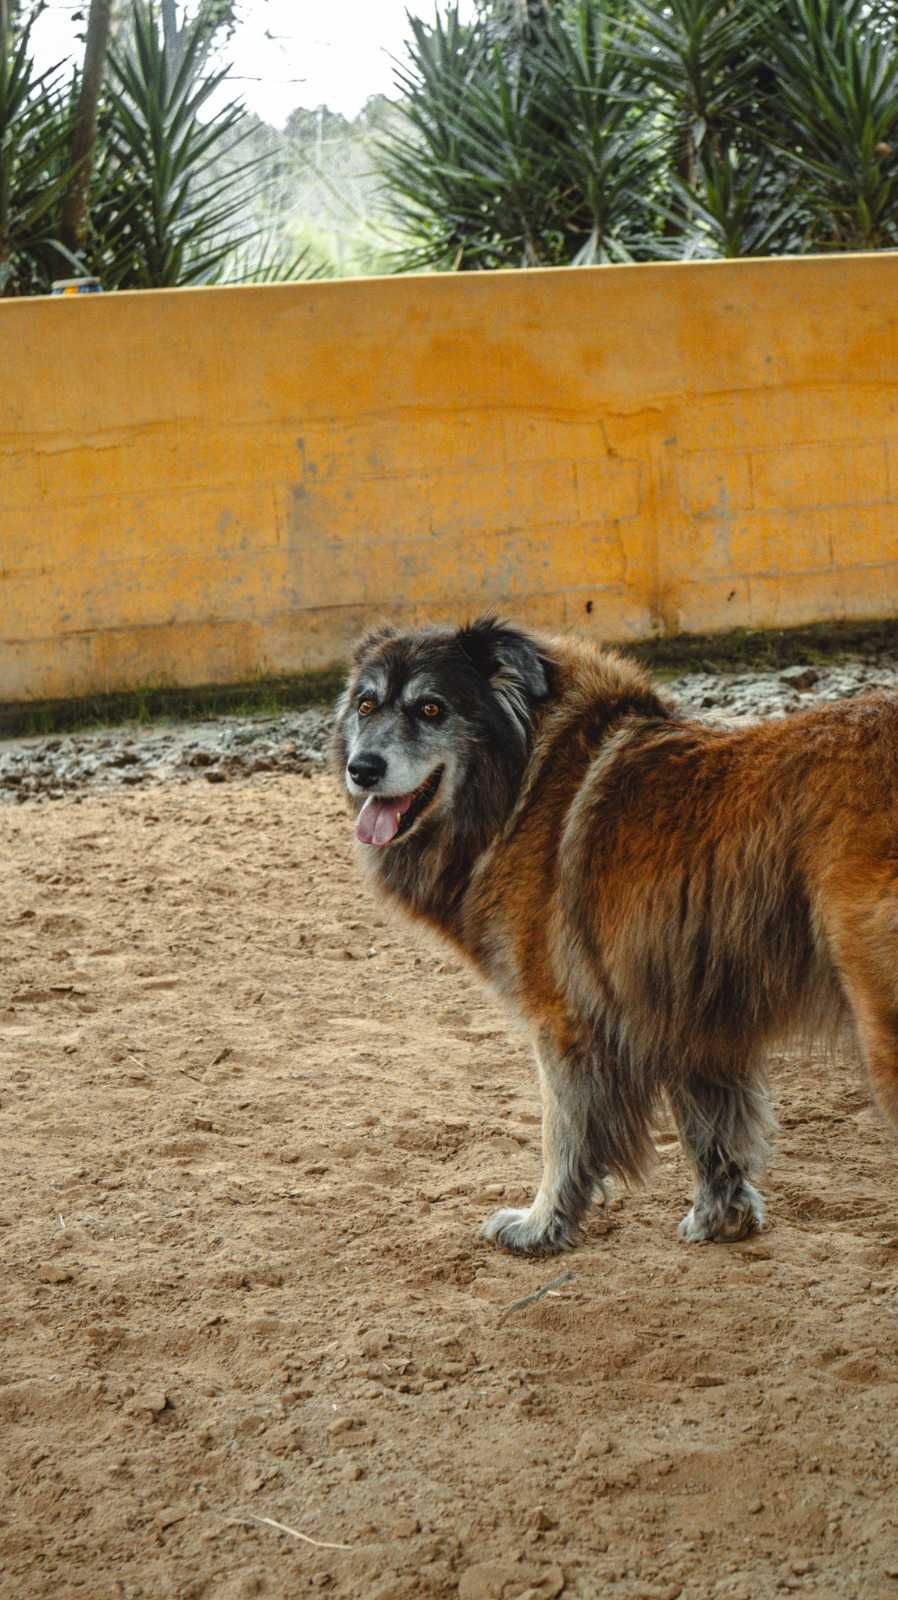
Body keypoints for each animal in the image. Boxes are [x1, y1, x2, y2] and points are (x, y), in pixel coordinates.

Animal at [331, 617, 896, 1254]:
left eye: (431, 708)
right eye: (366, 704)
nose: (362, 768)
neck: (524, 774)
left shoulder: (565, 1025)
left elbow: (563, 1136)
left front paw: (541, 1226)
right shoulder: (692, 1013)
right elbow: (713, 1132)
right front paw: (722, 1219)